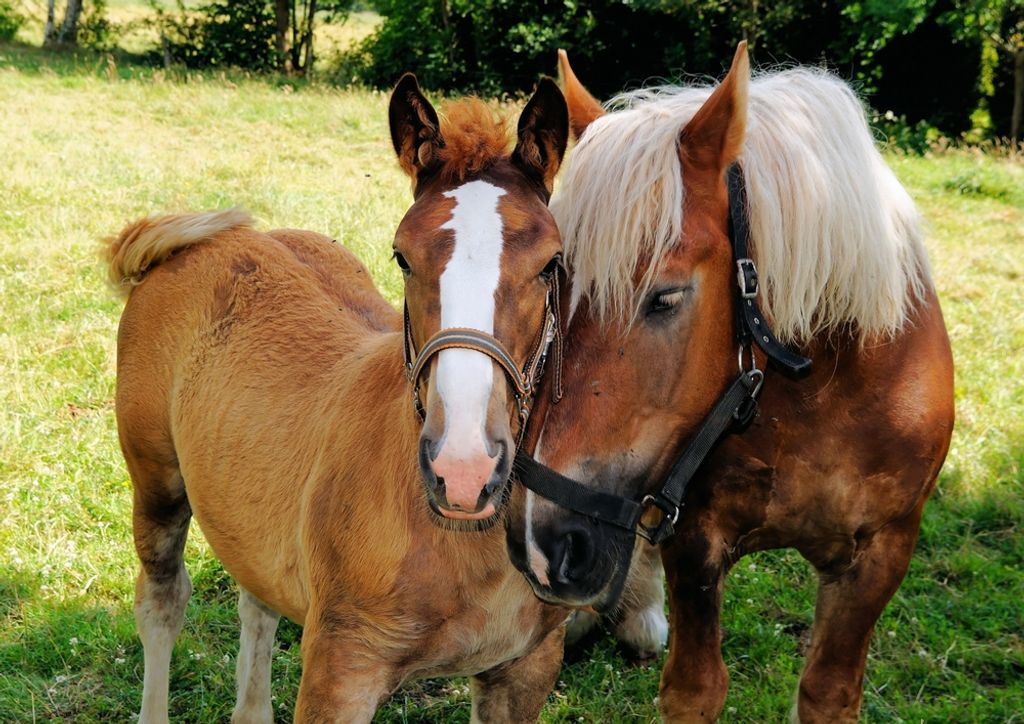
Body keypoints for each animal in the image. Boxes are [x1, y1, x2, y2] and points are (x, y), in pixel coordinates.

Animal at [107, 74, 573, 722]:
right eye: (402, 256)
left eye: (552, 262)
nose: (463, 469)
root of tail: (196, 242)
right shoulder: (341, 668)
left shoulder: (526, 668)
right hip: (156, 482)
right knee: (161, 603)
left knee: (257, 601)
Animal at [506, 43, 955, 722]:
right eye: (552, 285)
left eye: (665, 297)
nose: (540, 539)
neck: (820, 393)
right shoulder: (692, 536)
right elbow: (695, 688)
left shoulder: (881, 555)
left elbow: (827, 693)